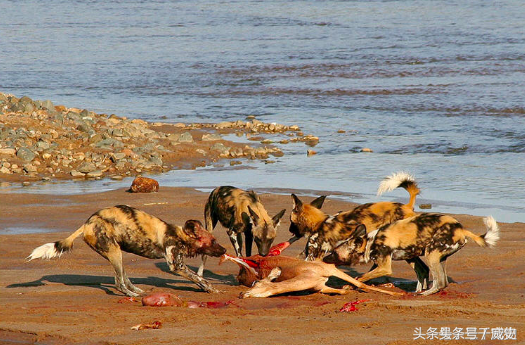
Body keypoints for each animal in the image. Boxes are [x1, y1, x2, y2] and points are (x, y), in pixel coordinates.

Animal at [28, 204, 225, 296]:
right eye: (213, 241)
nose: (224, 250)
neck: (180, 236)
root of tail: (86, 224)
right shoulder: (177, 266)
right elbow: (198, 277)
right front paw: (211, 289)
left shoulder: (180, 265)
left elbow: (198, 278)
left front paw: (207, 289)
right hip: (115, 253)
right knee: (118, 283)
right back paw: (132, 295)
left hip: (117, 254)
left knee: (124, 278)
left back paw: (138, 291)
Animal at [324, 212, 500, 292]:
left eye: (334, 252)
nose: (324, 258)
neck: (370, 242)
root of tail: (461, 229)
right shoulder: (406, 259)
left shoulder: (385, 267)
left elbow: (361, 277)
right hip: (437, 257)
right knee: (442, 280)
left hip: (431, 254)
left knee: (440, 281)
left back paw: (425, 294)